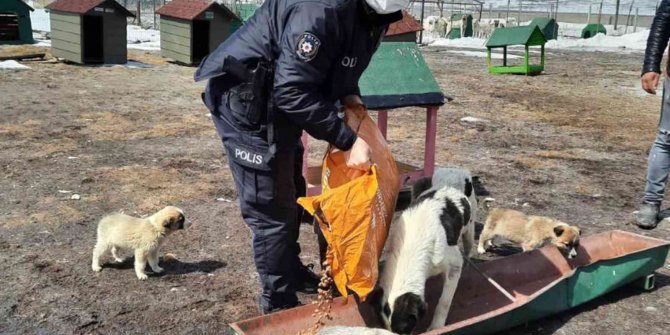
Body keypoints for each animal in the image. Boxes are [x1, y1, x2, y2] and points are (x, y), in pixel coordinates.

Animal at [372, 172, 478, 334]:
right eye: (385, 327)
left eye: (404, 329)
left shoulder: (454, 263)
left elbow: (444, 301)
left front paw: (436, 327)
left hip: (469, 231)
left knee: (468, 247)